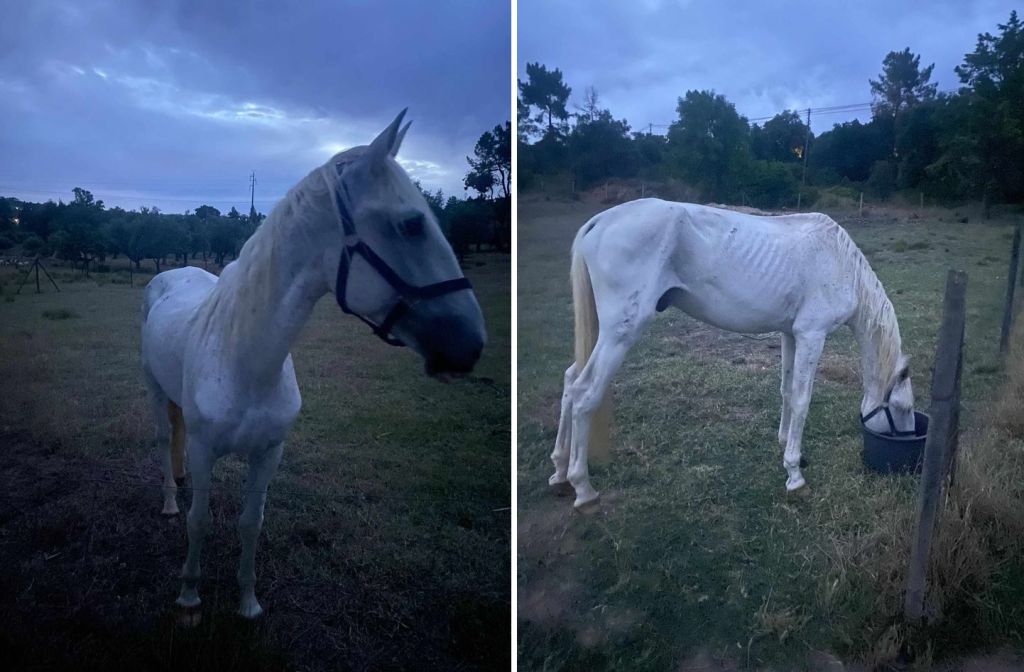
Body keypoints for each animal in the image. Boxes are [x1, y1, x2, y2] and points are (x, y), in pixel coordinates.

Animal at [140, 110, 486, 618]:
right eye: (411, 225)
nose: (471, 345)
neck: (246, 361)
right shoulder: (205, 451)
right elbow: (199, 521)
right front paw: (189, 595)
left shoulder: (269, 452)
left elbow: (251, 522)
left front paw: (248, 601)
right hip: (153, 389)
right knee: (166, 440)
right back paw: (168, 500)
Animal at [550, 199, 914, 511]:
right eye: (903, 409)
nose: (909, 455)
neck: (840, 262)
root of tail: (600, 221)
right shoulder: (812, 335)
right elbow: (802, 399)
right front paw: (795, 475)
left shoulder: (790, 334)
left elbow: (786, 391)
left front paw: (786, 444)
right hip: (619, 333)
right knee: (584, 392)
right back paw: (583, 489)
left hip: (603, 331)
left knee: (569, 381)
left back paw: (559, 472)